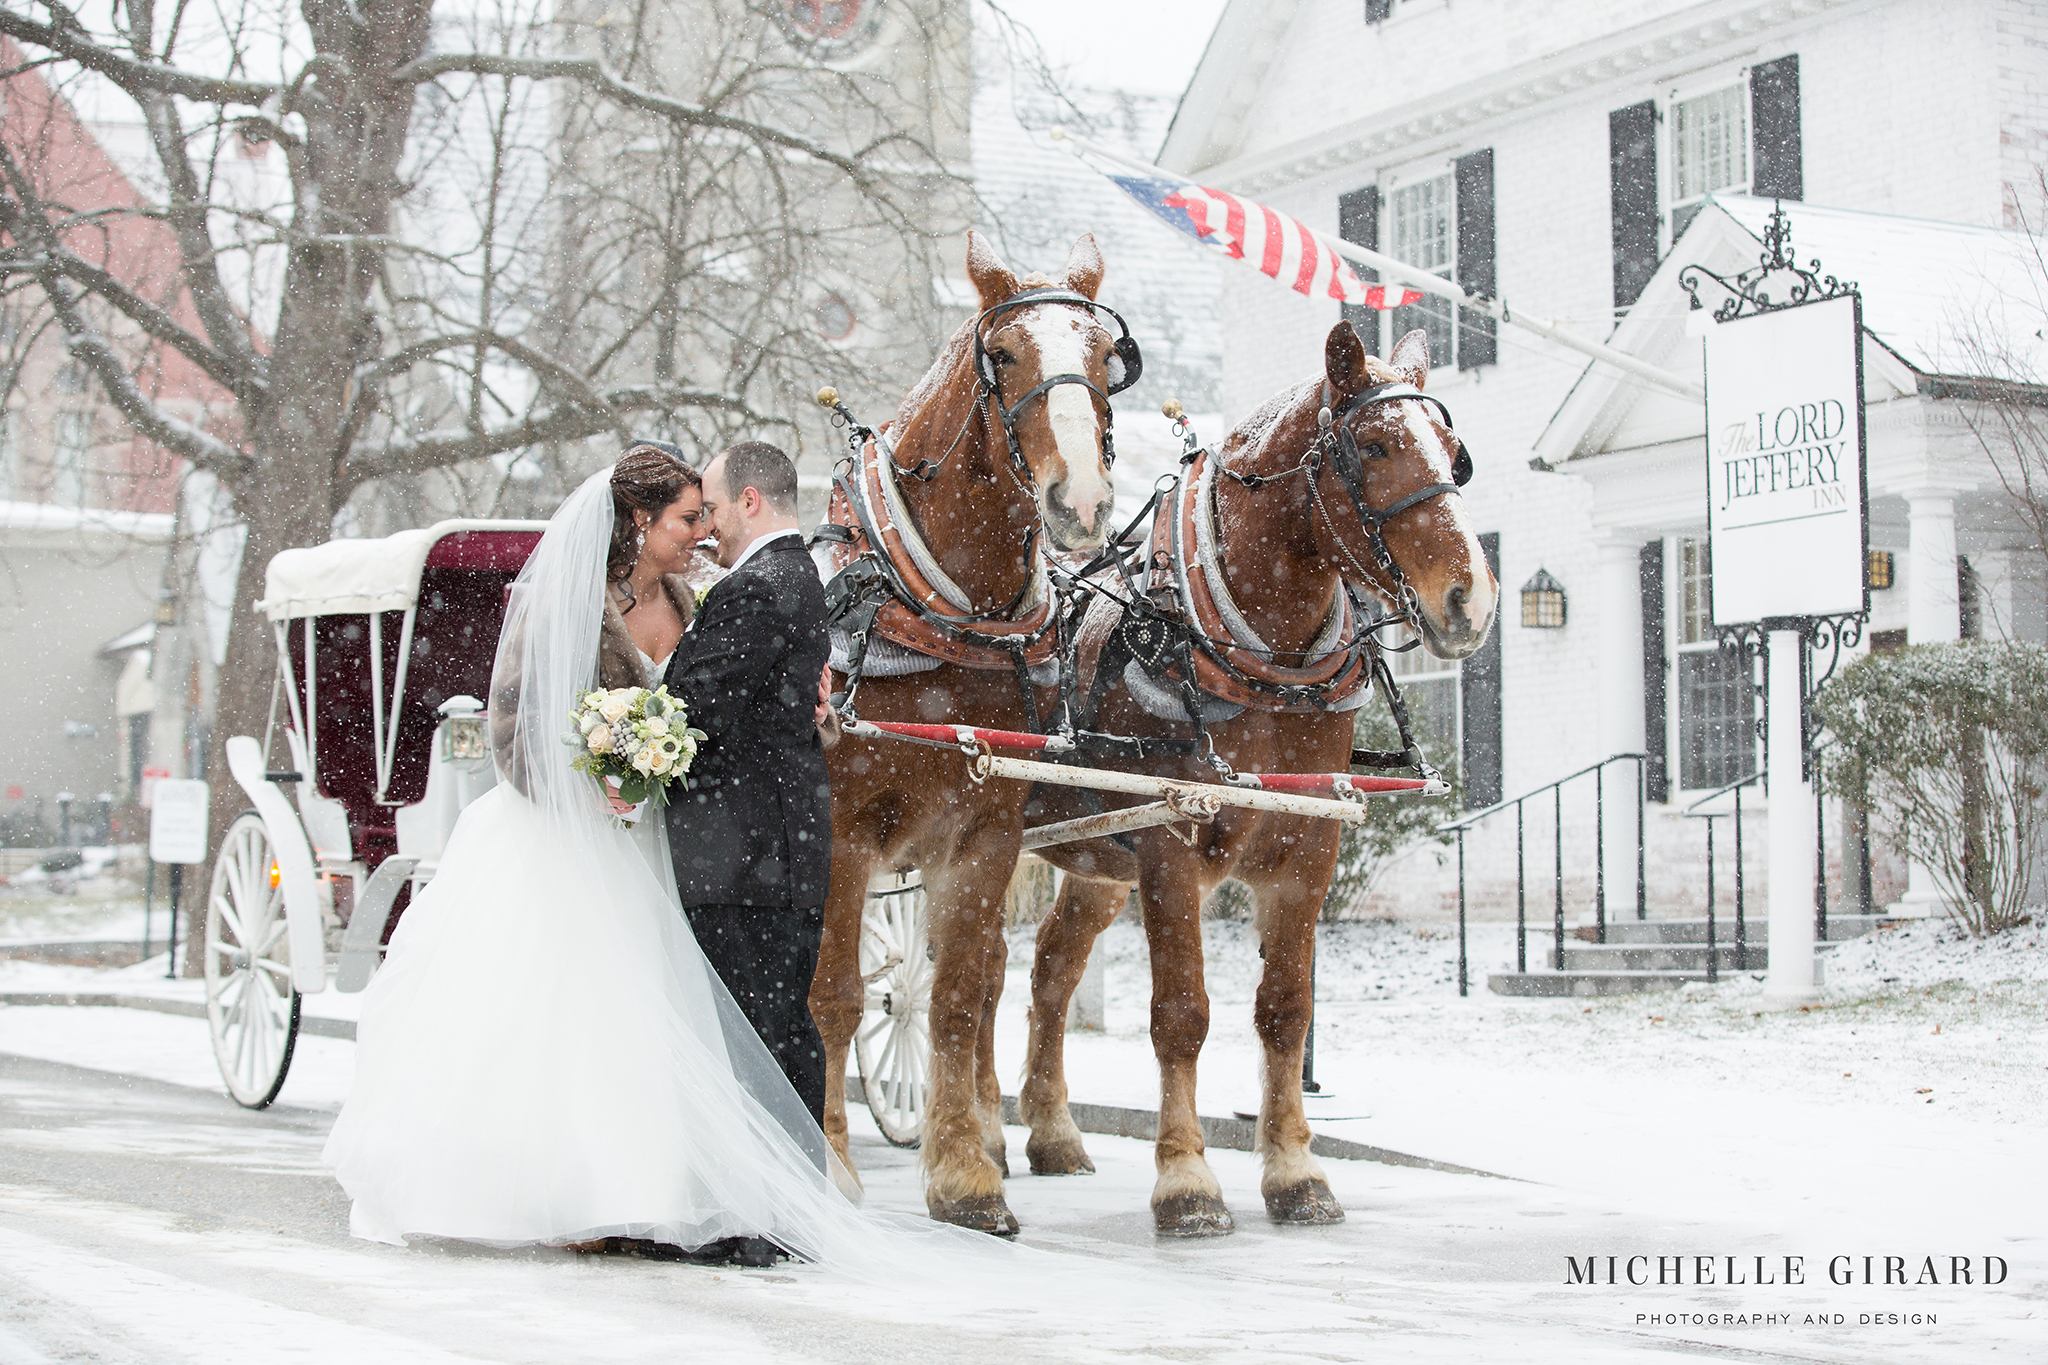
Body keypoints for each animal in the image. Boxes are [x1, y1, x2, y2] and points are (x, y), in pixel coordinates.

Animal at [806, 229, 1122, 1236]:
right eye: (1006, 355)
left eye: (1107, 356)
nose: (1080, 501)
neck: (933, 619)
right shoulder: (842, 835)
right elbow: (834, 994)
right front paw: (828, 1163)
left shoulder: (983, 833)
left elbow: (952, 997)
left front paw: (963, 1176)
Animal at [1019, 323, 1490, 1236]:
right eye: (1373, 445)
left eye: (1455, 457)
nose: (1471, 600)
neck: (1262, 661)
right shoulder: (1169, 847)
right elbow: (1182, 1013)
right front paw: (1186, 1181)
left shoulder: (1308, 851)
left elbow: (1284, 1010)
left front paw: (1296, 1171)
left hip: (1096, 859)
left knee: (1050, 968)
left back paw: (1047, 1131)